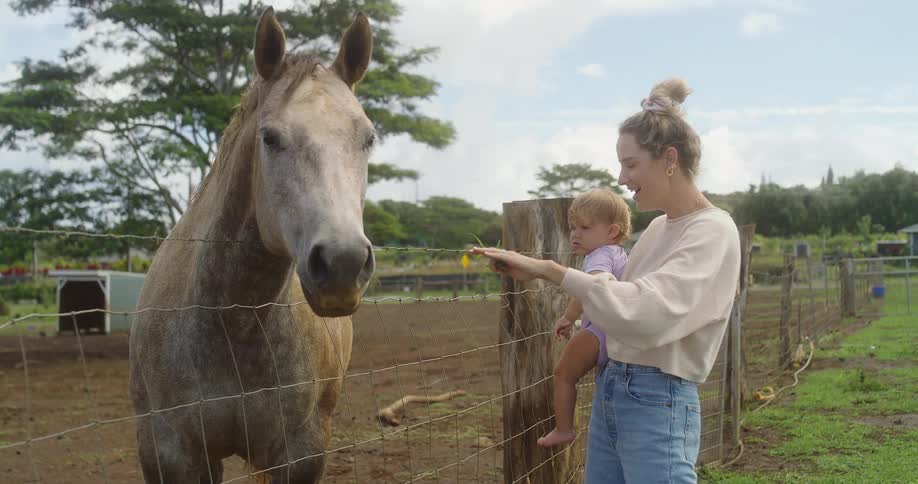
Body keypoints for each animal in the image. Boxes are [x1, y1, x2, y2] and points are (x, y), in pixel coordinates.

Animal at [129, 7, 375, 483]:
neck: (231, 321)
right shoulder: (171, 453)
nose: (343, 264)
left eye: (368, 138)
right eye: (269, 138)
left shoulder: (299, 452)